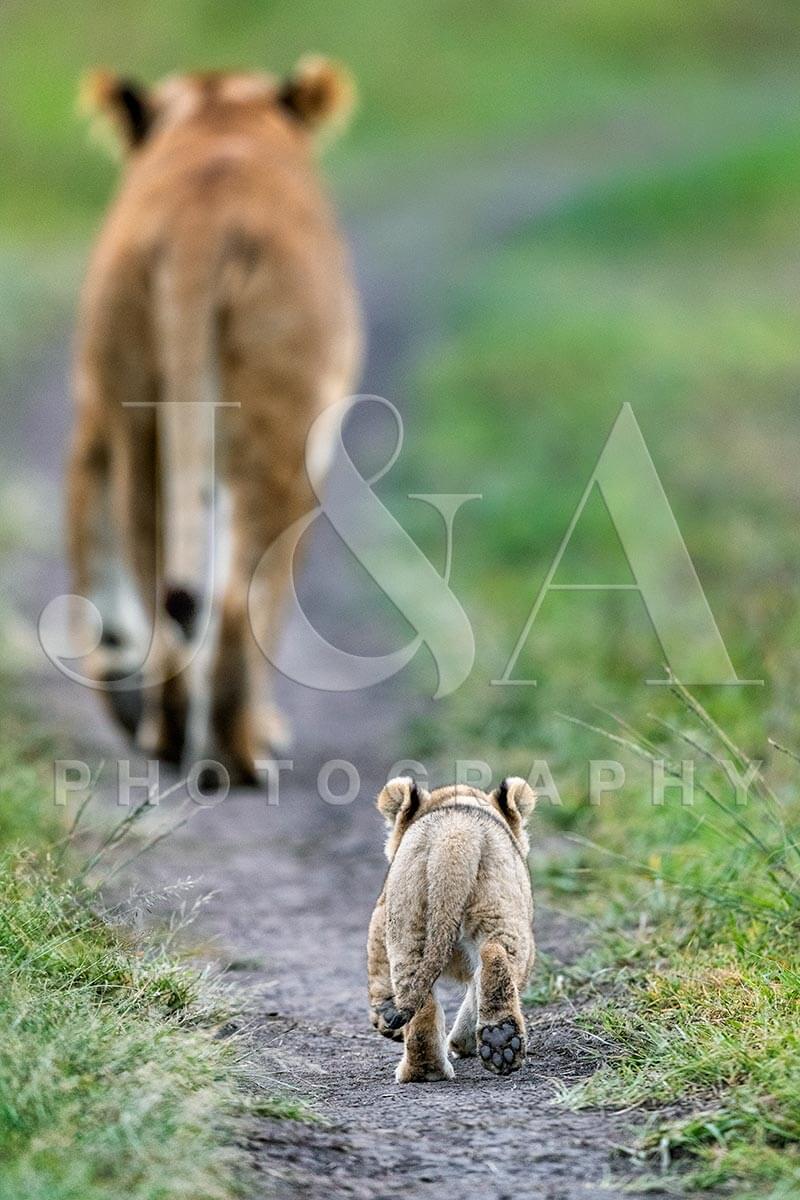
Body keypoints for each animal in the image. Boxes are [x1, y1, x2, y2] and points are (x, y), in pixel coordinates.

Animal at [69, 59, 362, 781]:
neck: (220, 113)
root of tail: (200, 219)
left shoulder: (93, 418)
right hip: (283, 429)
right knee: (236, 601)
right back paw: (245, 751)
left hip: (137, 416)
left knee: (156, 583)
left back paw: (167, 736)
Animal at [367, 776, 536, 1083]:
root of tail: (455, 834)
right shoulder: (380, 911)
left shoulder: (381, 912)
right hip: (504, 919)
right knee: (494, 955)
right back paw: (498, 1040)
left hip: (408, 926)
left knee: (423, 996)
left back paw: (428, 1069)